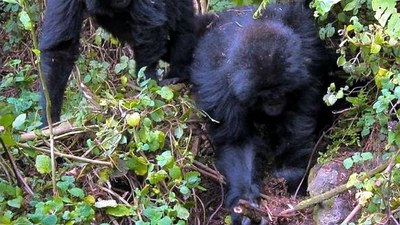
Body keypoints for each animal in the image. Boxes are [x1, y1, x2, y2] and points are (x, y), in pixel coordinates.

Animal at [39, 0, 196, 125]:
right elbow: (61, 49)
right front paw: (50, 118)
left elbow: (149, 25)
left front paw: (148, 81)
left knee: (184, 28)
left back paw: (179, 72)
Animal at [189, 3, 332, 225]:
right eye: (264, 96)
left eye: (281, 92)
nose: (275, 103)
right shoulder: (220, 90)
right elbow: (238, 142)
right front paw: (245, 199)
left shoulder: (304, 65)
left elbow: (297, 121)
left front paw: (290, 174)